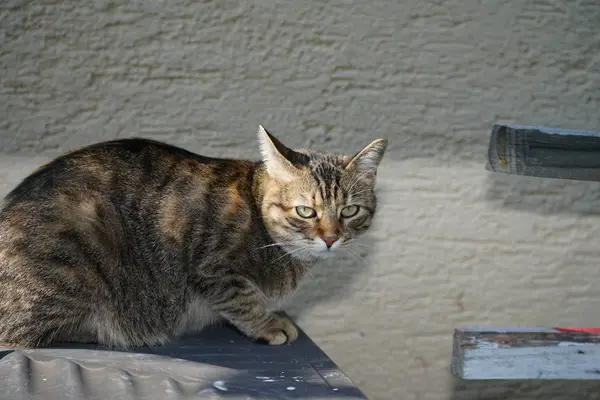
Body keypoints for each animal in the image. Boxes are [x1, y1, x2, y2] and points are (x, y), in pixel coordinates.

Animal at [0, 125, 386, 346]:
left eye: (349, 211)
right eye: (306, 211)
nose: (331, 238)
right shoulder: (214, 269)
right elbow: (243, 301)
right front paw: (267, 324)